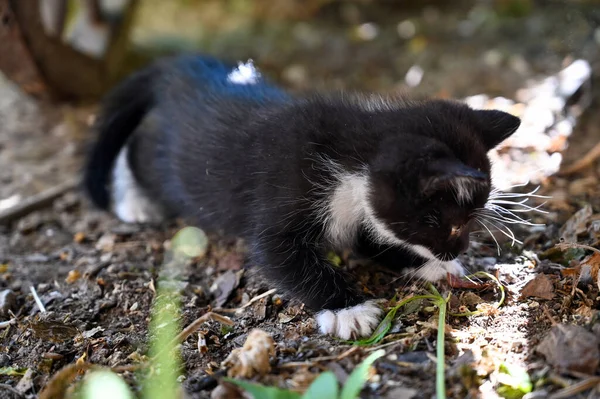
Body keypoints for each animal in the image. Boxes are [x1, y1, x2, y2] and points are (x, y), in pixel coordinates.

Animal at [84, 53, 520, 340]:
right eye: (454, 223)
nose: (456, 249)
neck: (353, 155)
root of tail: (185, 67)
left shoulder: (363, 208)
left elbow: (372, 238)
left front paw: (425, 264)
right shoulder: (286, 188)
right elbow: (283, 256)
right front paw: (347, 308)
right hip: (172, 163)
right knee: (140, 151)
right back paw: (134, 200)